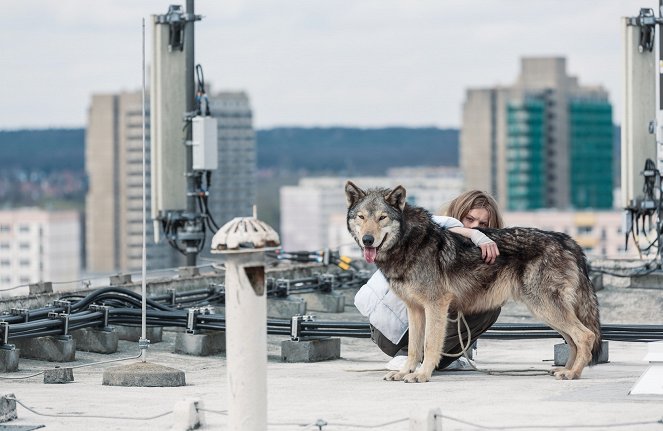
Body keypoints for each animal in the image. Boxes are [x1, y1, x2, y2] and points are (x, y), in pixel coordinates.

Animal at [344, 181, 604, 384]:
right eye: (362, 217)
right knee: (573, 340)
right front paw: (404, 372)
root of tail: (567, 240)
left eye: (382, 217)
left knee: (585, 336)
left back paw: (572, 374)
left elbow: (429, 344)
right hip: (546, 311)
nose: (368, 240)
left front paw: (422, 375)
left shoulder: (435, 305)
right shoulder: (415, 309)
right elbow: (414, 348)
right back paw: (566, 370)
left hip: (545, 308)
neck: (408, 243)